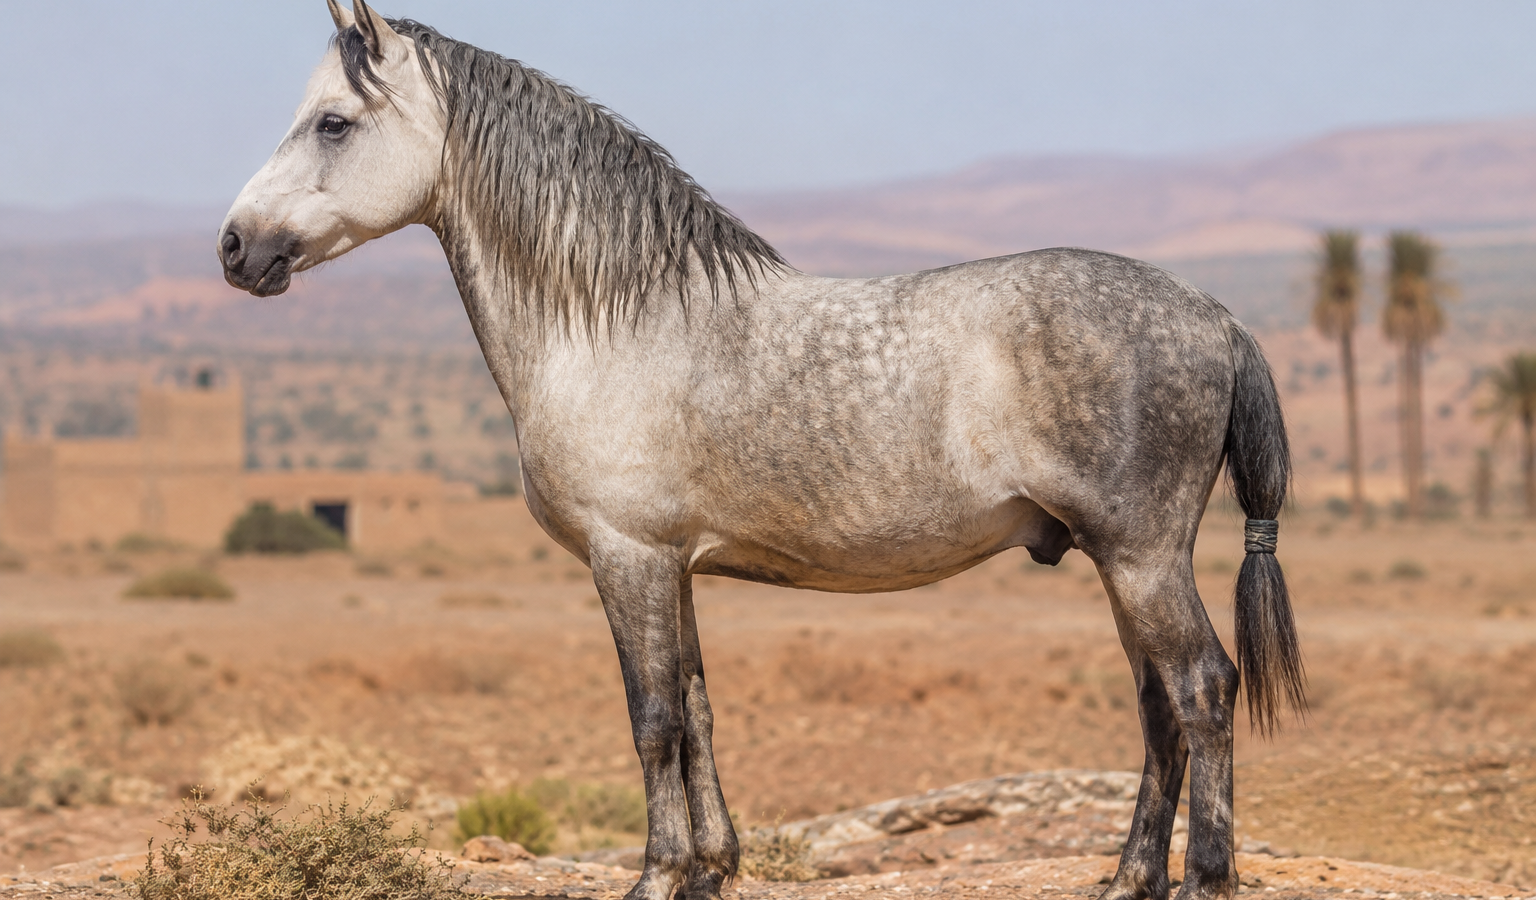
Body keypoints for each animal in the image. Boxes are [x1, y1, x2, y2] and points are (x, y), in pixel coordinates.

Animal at [218, 3, 1304, 898]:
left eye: (332, 124)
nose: (234, 248)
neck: (614, 322)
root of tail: (1213, 315)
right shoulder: (673, 566)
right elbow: (696, 710)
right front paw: (710, 870)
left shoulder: (629, 559)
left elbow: (652, 716)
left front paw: (657, 877)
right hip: (1122, 565)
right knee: (1159, 705)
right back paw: (1127, 880)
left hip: (1141, 557)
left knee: (1201, 689)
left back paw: (1203, 879)